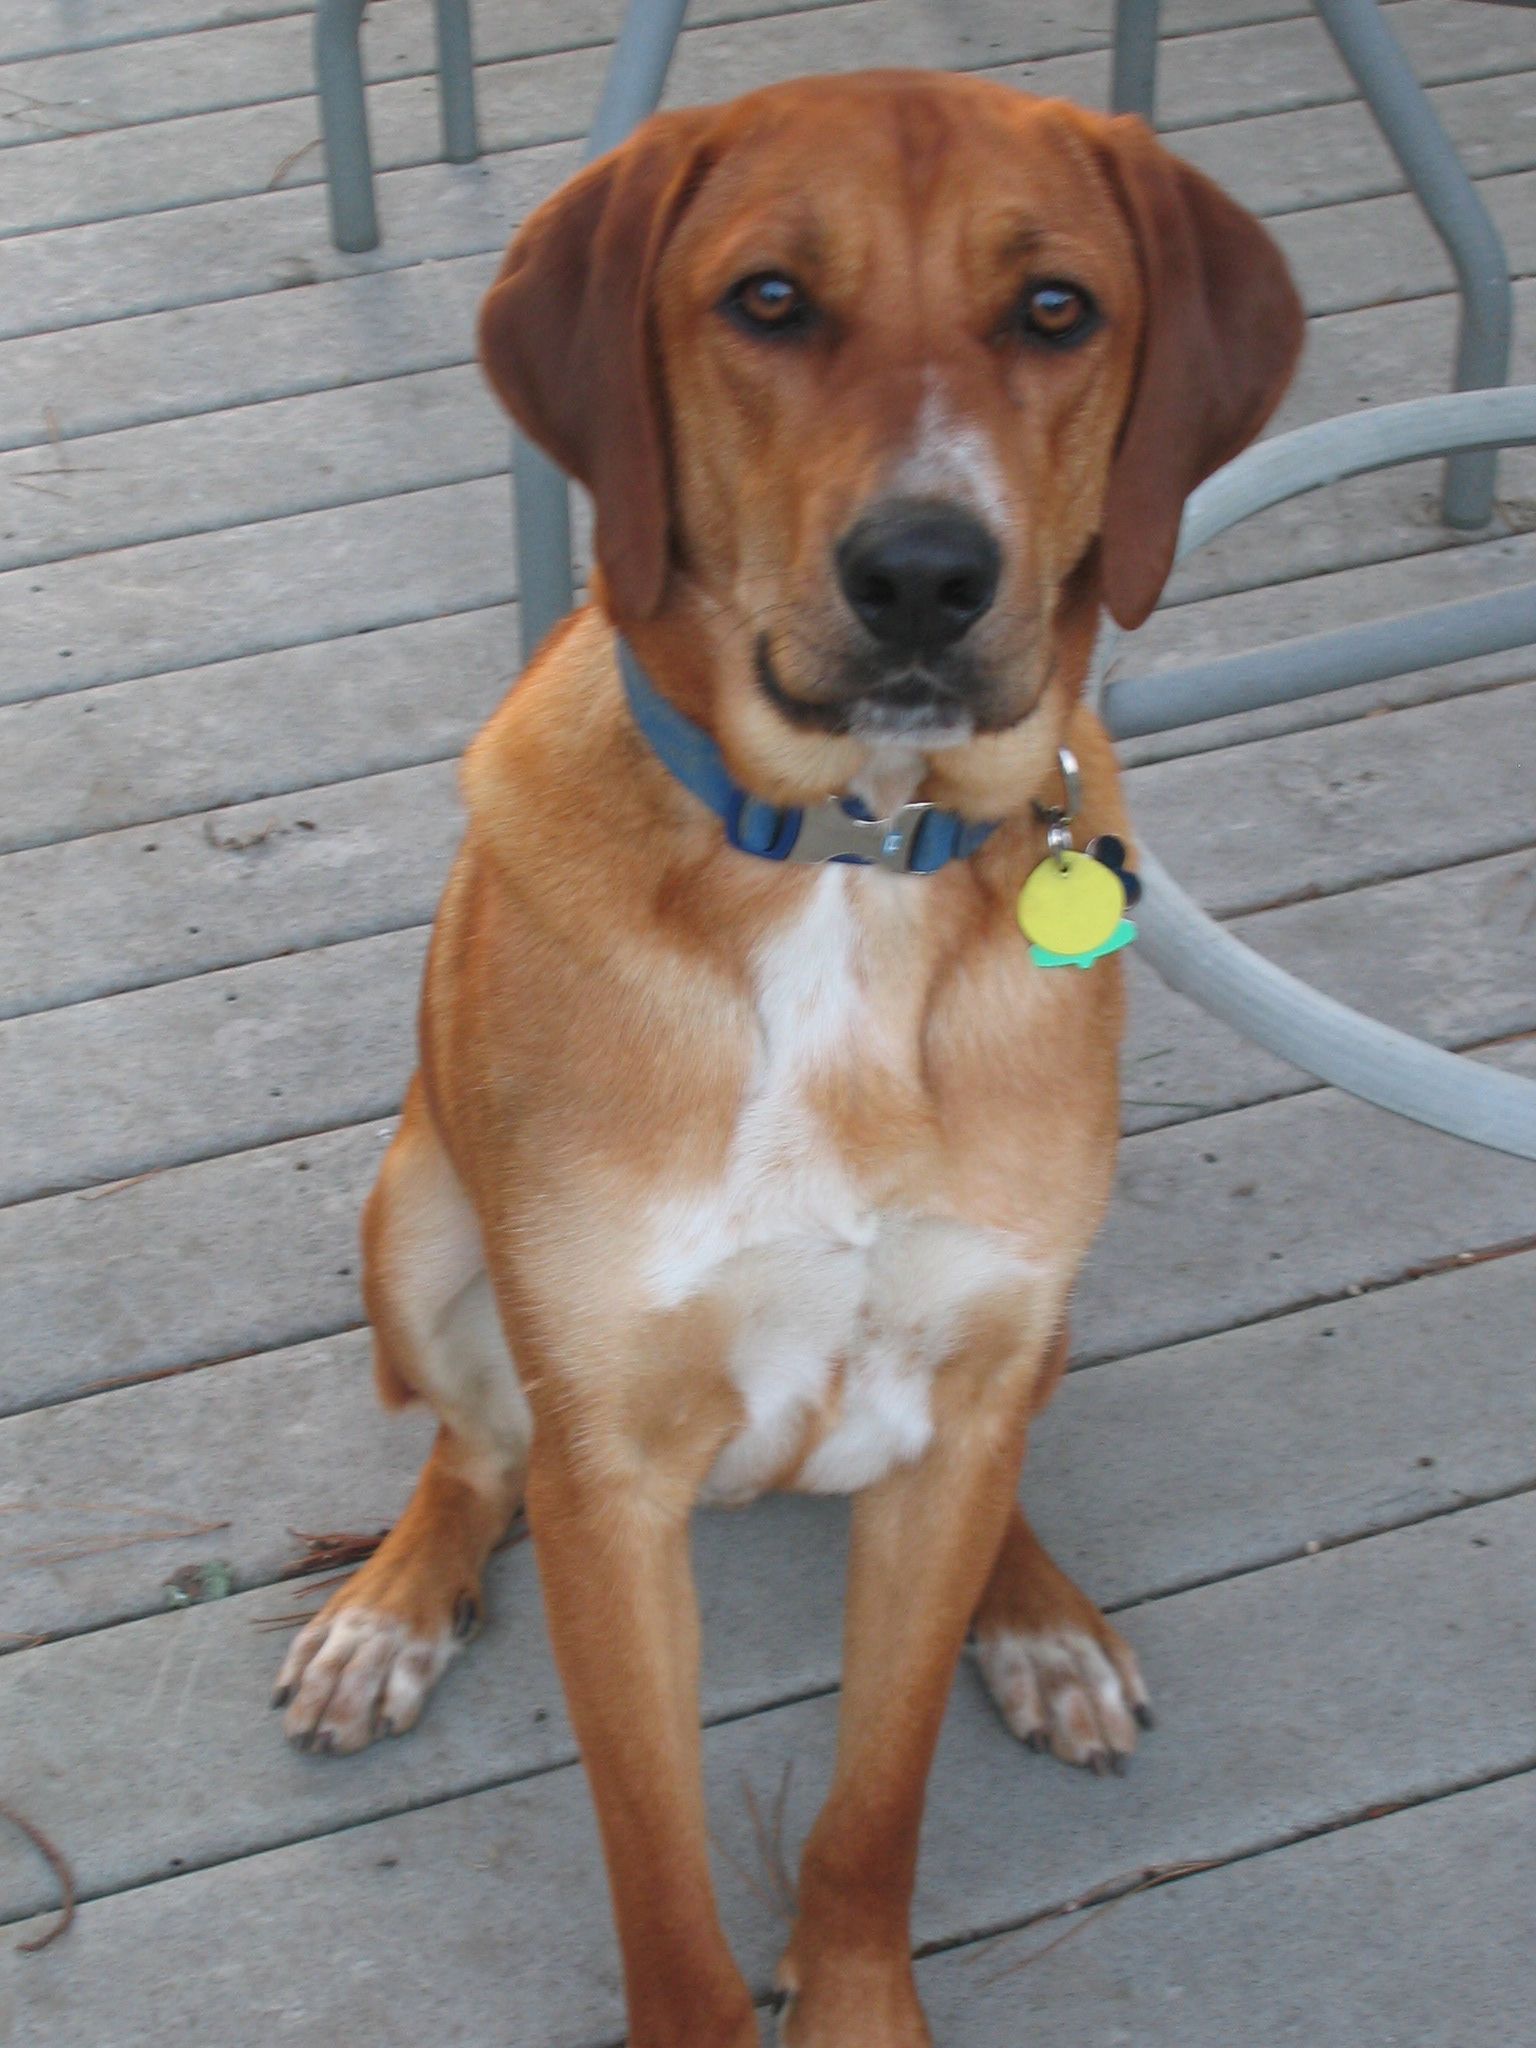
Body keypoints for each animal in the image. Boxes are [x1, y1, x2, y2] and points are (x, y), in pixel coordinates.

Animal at [274, 72, 1302, 2048]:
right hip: (410, 1221)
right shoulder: (609, 1482)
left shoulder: (962, 1367)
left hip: (1022, 1330)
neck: (848, 855)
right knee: (466, 1444)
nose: (924, 573)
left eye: (1054, 309)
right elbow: (661, 1878)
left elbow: (870, 1813)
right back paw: (390, 1607)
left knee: (995, 1466)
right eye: (765, 301)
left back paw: (1039, 1617)